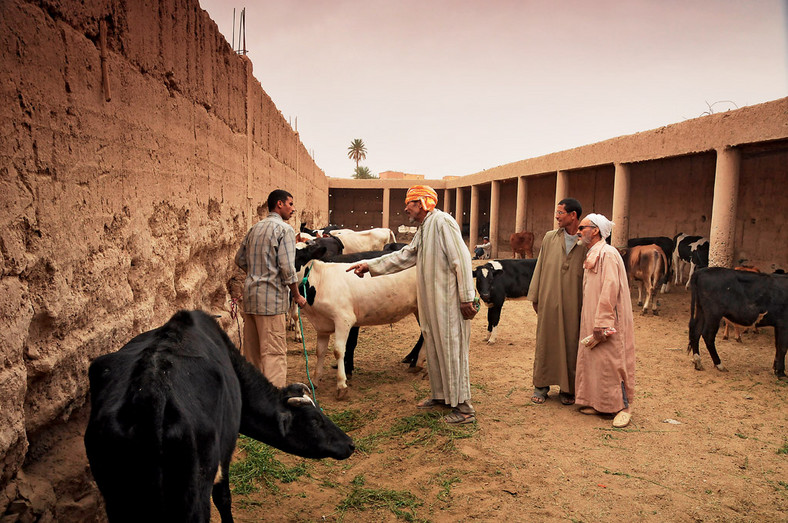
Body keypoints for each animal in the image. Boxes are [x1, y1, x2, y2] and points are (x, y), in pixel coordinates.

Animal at [86, 312, 354, 523]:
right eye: (314, 421)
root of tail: (149, 394)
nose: (350, 444)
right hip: (193, 500)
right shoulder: (223, 456)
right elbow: (224, 497)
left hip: (118, 502)